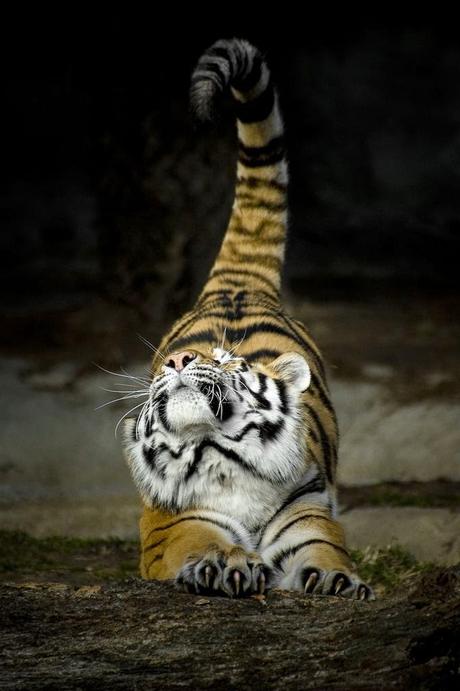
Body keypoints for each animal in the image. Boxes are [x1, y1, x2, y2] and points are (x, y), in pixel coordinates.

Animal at [123, 37, 374, 600]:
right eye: (175, 363)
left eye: (225, 360)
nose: (178, 361)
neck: (225, 461)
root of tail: (237, 287)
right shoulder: (175, 525)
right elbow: (201, 541)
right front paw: (223, 564)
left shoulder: (308, 512)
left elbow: (324, 550)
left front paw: (338, 580)